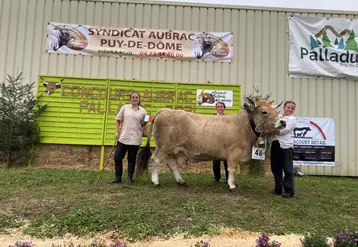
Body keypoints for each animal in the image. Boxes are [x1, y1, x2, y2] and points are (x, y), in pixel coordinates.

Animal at [136, 97, 286, 191]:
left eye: (276, 111)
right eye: (264, 112)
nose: (282, 122)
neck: (244, 127)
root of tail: (165, 110)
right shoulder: (233, 153)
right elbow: (231, 169)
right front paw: (232, 186)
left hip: (171, 148)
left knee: (171, 163)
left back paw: (181, 181)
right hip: (163, 146)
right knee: (155, 160)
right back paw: (155, 182)